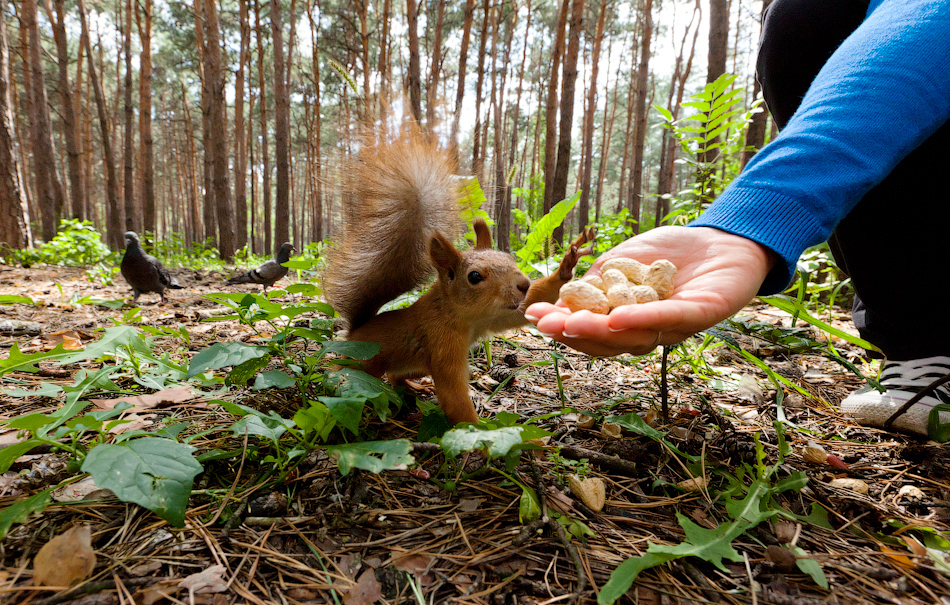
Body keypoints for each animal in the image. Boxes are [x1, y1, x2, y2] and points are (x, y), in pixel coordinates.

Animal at [324, 129, 592, 420]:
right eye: (474, 277)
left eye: (509, 258)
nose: (523, 284)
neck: (461, 314)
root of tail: (357, 331)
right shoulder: (440, 340)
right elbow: (453, 394)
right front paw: (478, 428)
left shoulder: (493, 317)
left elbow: (526, 308)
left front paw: (568, 264)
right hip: (364, 362)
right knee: (348, 375)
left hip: (414, 365)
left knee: (396, 378)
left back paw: (412, 387)